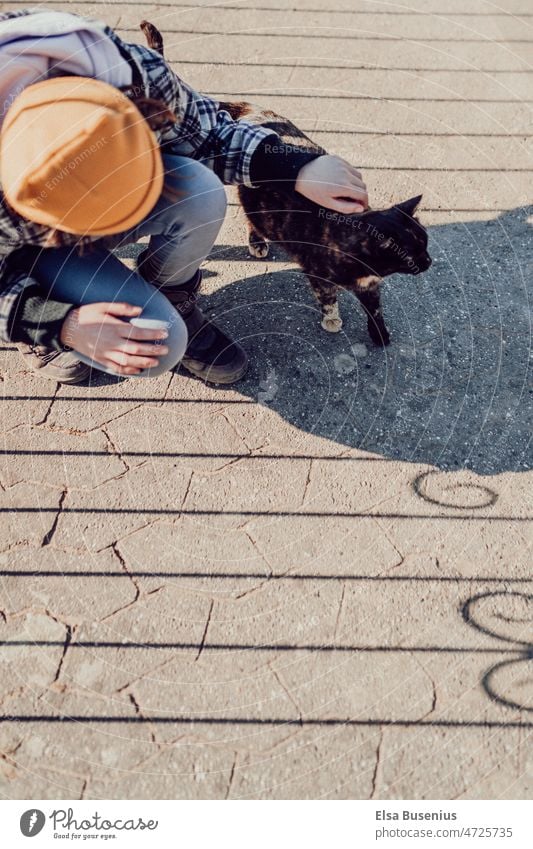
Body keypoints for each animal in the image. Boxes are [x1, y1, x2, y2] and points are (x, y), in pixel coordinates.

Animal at [142, 20, 432, 344]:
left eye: (426, 244)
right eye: (413, 253)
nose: (429, 262)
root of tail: (253, 110)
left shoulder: (369, 285)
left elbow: (375, 309)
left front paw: (380, 334)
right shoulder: (319, 275)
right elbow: (327, 297)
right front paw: (332, 320)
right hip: (255, 203)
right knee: (252, 219)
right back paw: (257, 243)